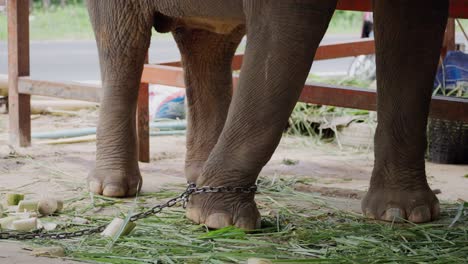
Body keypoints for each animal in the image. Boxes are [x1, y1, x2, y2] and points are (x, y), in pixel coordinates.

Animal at [86, 0, 448, 229]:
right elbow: (284, 27)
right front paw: (218, 221)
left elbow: (415, 29)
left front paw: (403, 214)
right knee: (122, 45)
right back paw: (114, 188)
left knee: (207, 43)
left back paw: (198, 179)